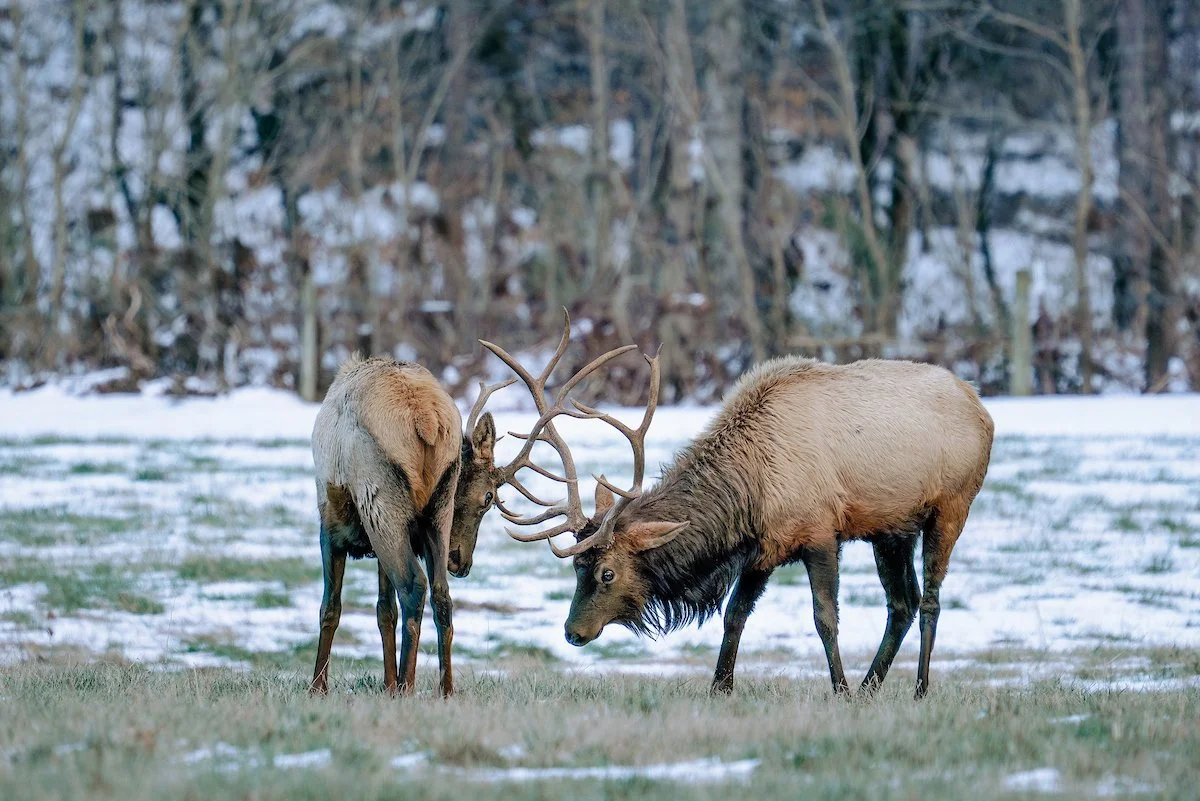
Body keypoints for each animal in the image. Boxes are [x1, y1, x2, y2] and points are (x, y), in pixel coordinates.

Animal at [309, 313, 634, 696]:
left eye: (490, 499)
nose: (460, 561)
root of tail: (426, 420)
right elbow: (383, 610)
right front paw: (385, 683)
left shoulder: (330, 522)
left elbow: (331, 607)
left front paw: (318, 687)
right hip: (433, 513)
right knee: (441, 594)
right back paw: (444, 689)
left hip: (381, 501)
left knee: (414, 586)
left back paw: (407, 686)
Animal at [485, 343, 994, 699]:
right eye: (577, 567)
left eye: (607, 573)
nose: (573, 632)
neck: (751, 493)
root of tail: (981, 406)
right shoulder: (762, 548)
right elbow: (734, 615)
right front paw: (720, 687)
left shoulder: (819, 532)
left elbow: (824, 618)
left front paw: (840, 691)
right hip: (891, 529)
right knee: (901, 603)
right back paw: (873, 687)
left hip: (952, 506)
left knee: (929, 601)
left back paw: (918, 690)